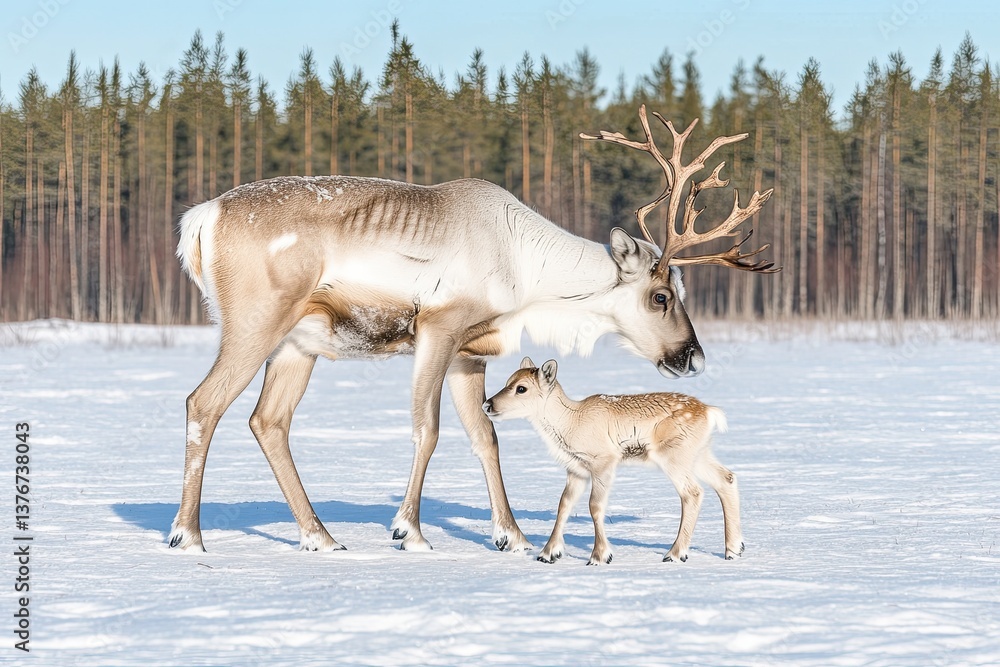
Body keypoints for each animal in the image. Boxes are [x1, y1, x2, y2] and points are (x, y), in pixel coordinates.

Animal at [483, 357, 742, 565]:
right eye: (508, 381)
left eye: (521, 388)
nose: (487, 404)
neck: (569, 424)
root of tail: (710, 412)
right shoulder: (576, 469)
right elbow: (564, 505)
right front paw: (548, 553)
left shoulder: (604, 461)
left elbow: (595, 506)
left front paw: (599, 556)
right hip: (698, 454)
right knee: (726, 478)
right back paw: (733, 549)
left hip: (674, 455)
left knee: (693, 492)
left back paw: (675, 553)